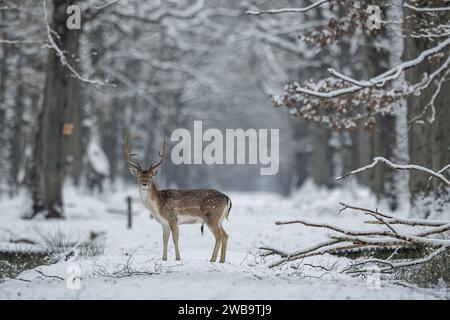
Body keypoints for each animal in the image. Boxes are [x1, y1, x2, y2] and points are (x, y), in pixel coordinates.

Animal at [125, 130, 232, 262]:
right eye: (139, 176)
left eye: (150, 176)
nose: (144, 183)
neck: (157, 206)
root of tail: (227, 198)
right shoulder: (164, 223)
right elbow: (164, 239)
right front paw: (164, 259)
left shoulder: (173, 218)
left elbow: (175, 239)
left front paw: (178, 258)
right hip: (219, 219)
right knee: (225, 235)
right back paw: (221, 260)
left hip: (212, 216)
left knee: (219, 236)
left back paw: (212, 260)